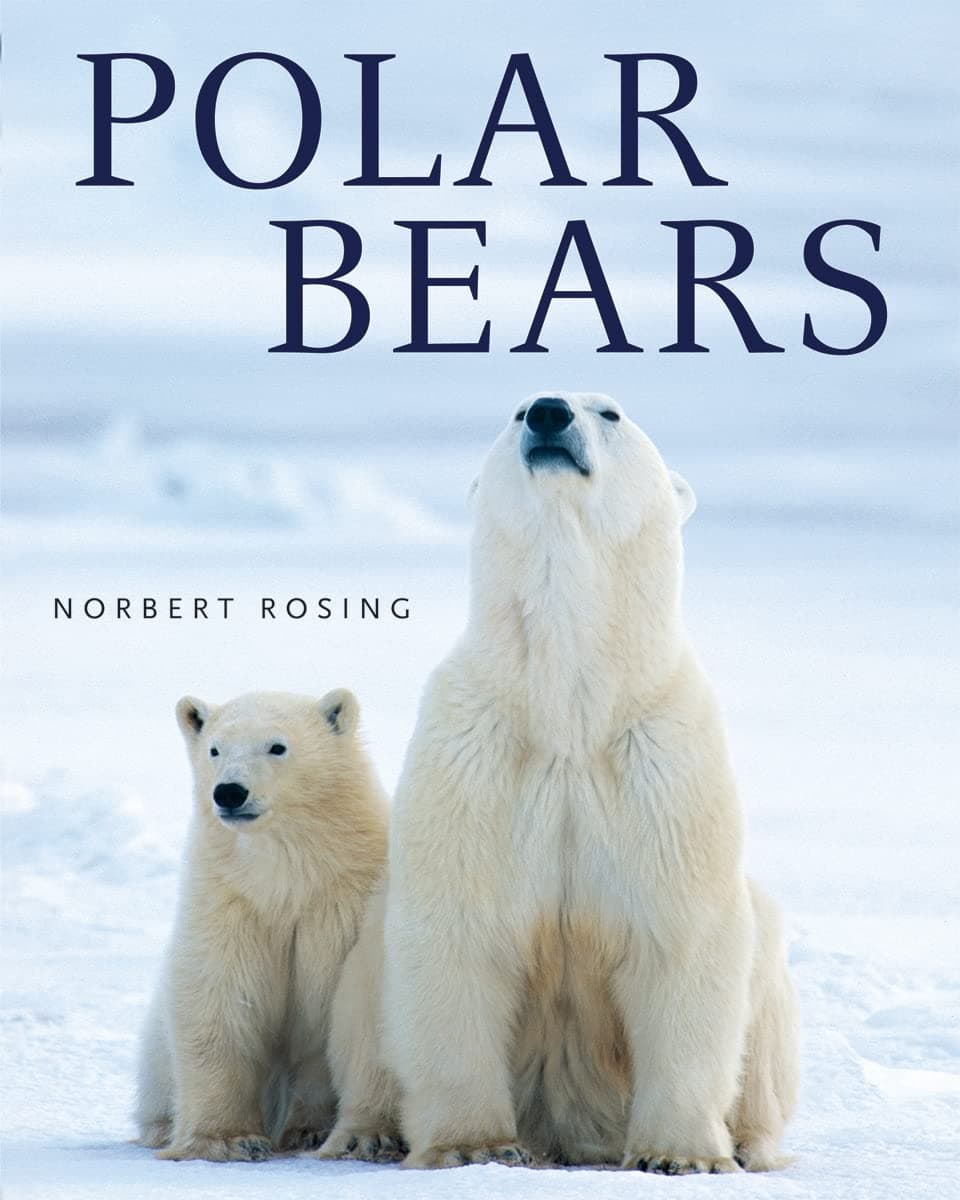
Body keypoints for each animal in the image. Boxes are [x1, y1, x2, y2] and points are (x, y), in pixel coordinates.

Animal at [134, 688, 396, 1162]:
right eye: (215, 749)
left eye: (278, 746)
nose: (229, 792)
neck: (287, 879)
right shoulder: (231, 903)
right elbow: (218, 999)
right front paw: (226, 1140)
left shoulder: (344, 905)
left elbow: (352, 1012)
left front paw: (360, 1135)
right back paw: (162, 1128)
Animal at [382, 392, 799, 1173]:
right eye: (516, 411)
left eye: (609, 412)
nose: (549, 413)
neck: (569, 710)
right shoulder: (477, 760)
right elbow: (457, 934)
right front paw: (472, 1146)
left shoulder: (660, 766)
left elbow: (682, 938)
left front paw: (680, 1156)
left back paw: (749, 1144)